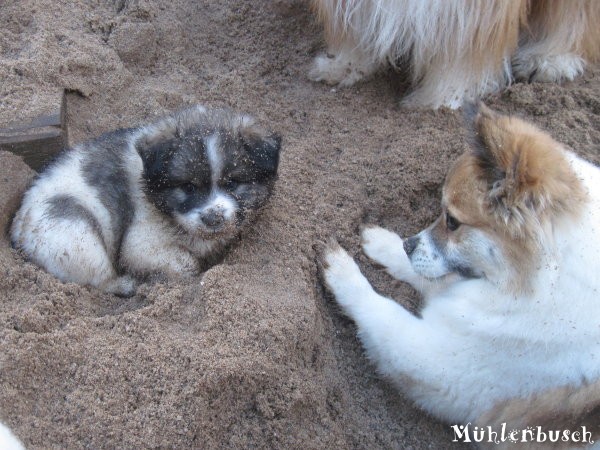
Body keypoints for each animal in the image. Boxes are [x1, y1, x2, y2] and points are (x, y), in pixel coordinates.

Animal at [9, 104, 282, 298]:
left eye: (232, 183)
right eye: (188, 186)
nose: (213, 217)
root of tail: (18, 229)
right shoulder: (139, 245)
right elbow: (187, 263)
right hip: (76, 234)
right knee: (98, 277)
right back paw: (126, 284)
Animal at [322, 105, 600, 446]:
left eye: (452, 221)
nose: (408, 244)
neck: (547, 279)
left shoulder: (439, 362)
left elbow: (380, 309)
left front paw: (343, 271)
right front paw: (384, 243)